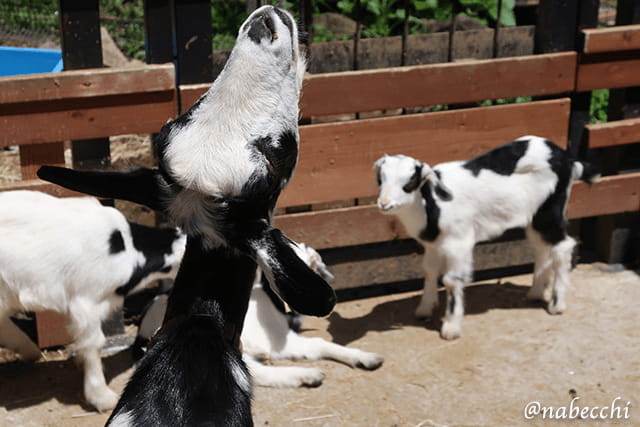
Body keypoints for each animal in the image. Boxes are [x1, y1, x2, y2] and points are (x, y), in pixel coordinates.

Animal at [376, 137, 600, 342]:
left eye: (409, 182)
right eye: (381, 179)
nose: (384, 204)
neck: (431, 204)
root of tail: (567, 158)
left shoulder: (459, 242)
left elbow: (451, 280)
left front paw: (451, 328)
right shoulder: (433, 245)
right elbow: (429, 271)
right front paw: (424, 309)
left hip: (549, 211)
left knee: (563, 246)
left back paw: (556, 304)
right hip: (535, 219)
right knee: (542, 248)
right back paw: (536, 293)